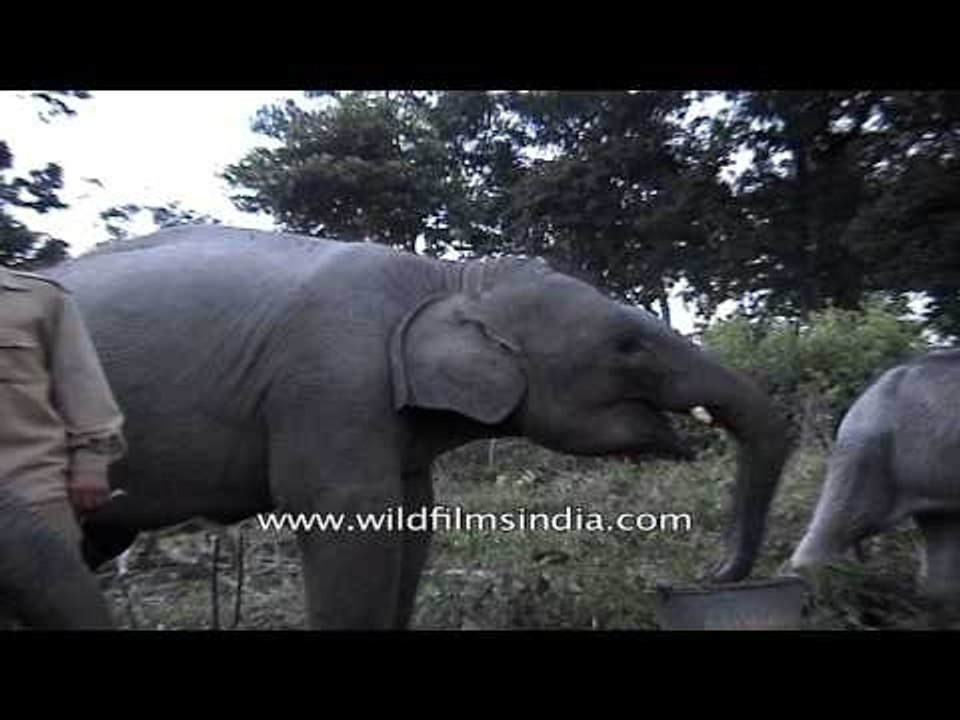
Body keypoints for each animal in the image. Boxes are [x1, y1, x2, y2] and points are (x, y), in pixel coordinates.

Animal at [49, 225, 791, 630]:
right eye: (628, 345)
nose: (715, 572)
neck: (447, 277)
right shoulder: (330, 386)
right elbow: (351, 527)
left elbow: (412, 524)